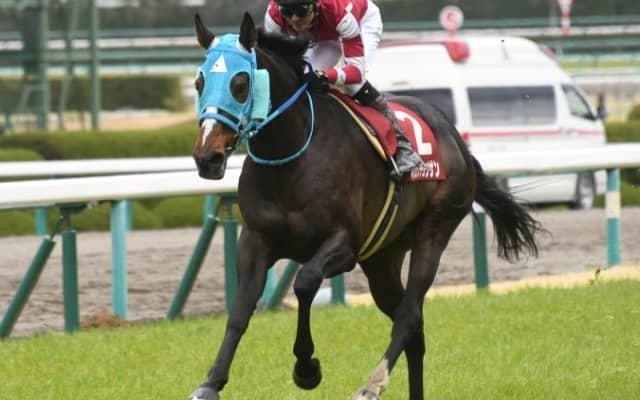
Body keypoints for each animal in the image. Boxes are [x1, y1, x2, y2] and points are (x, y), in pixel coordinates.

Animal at [188, 12, 541, 400]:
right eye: (199, 82)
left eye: (240, 82)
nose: (207, 157)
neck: (291, 155)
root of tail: (456, 139)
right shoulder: (255, 240)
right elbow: (241, 308)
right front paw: (210, 383)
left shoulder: (344, 245)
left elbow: (305, 282)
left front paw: (306, 368)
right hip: (382, 259)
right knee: (414, 329)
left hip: (434, 230)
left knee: (408, 316)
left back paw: (372, 383)